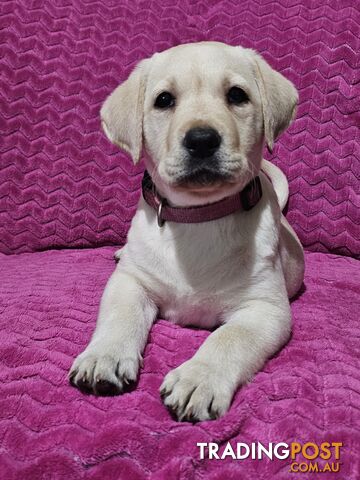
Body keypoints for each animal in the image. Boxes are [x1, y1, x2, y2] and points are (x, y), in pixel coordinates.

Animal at [68, 43, 304, 422]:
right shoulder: (131, 281)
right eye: (164, 100)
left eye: (237, 95)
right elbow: (120, 315)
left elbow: (228, 338)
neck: (197, 217)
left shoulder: (265, 310)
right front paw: (103, 355)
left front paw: (199, 378)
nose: (202, 140)